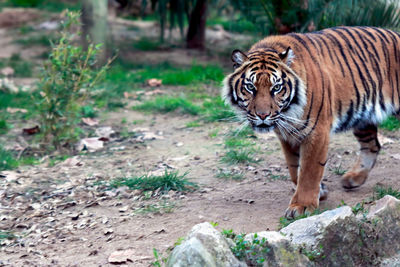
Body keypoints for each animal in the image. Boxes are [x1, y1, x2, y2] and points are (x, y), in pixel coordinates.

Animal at [222, 26, 400, 220]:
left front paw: (302, 206)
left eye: (276, 88)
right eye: (250, 87)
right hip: (363, 118)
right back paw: (353, 178)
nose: (263, 115)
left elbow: (309, 171)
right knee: (372, 146)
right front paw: (319, 191)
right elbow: (294, 168)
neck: (288, 113)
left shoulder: (317, 131)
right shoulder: (287, 135)